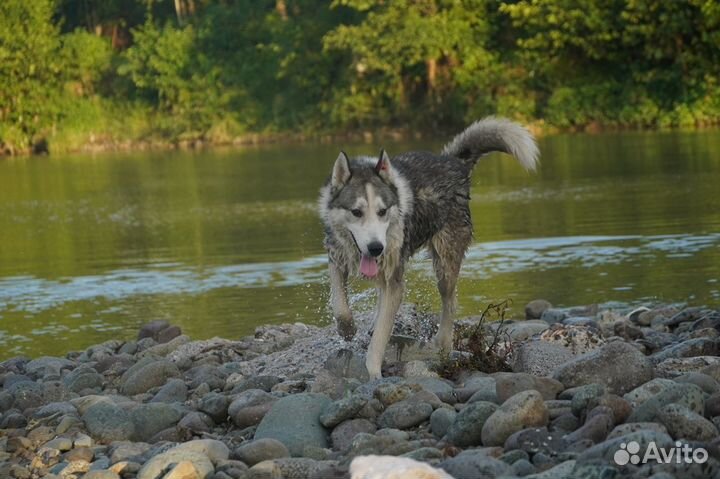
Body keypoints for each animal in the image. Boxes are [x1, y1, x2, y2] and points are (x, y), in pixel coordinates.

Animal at [318, 117, 536, 378]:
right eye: (356, 212)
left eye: (382, 211)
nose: (376, 248)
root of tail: (452, 162)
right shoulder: (336, 257)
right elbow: (339, 305)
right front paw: (348, 329)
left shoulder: (395, 279)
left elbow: (381, 336)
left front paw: (374, 373)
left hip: (445, 265)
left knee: (450, 302)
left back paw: (443, 343)